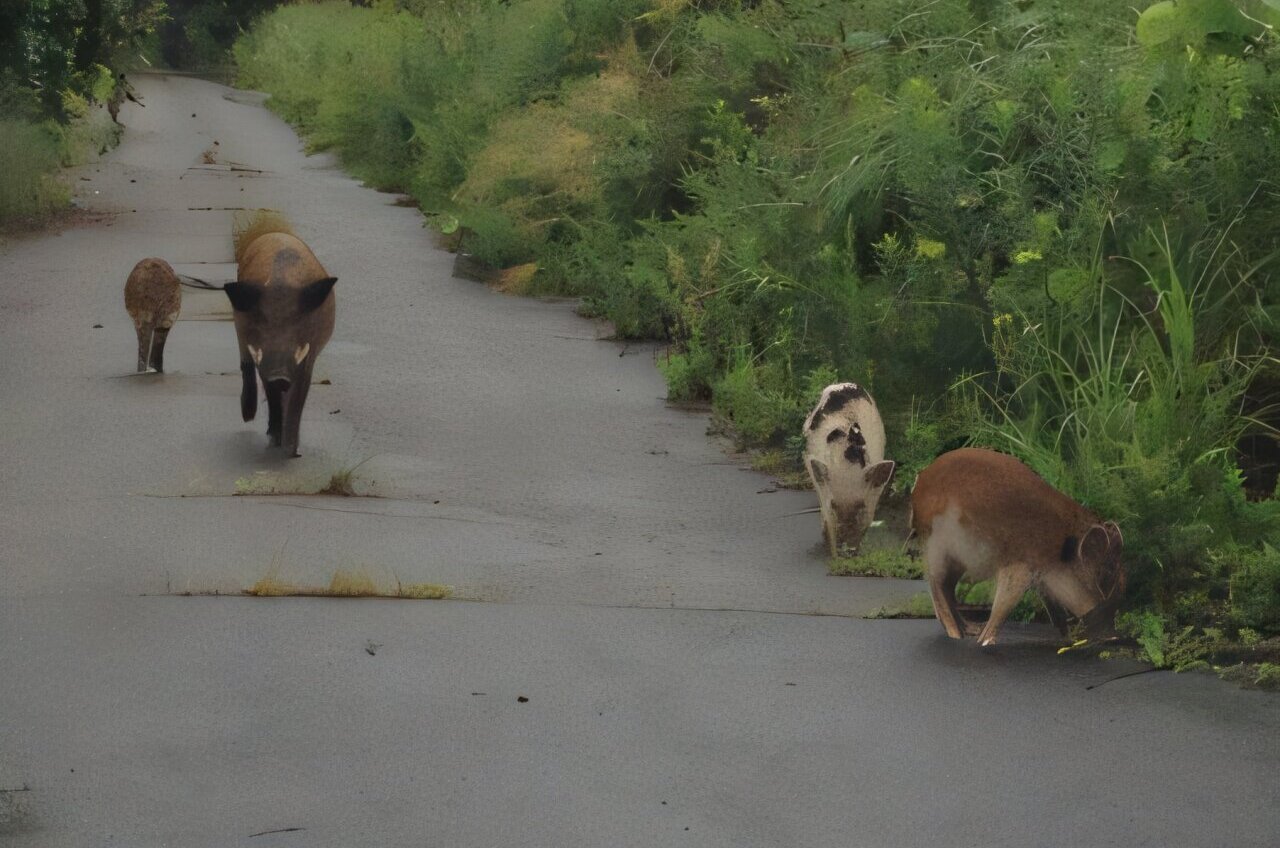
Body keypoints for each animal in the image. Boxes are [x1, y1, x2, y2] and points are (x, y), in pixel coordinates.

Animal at [223, 217, 336, 458]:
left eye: (297, 322)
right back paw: (248, 416)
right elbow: (270, 391)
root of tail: (276, 233)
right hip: (239, 331)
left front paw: (292, 451)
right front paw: (275, 441)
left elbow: (298, 396)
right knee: (245, 366)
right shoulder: (260, 354)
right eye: (262, 321)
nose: (279, 376)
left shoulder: (308, 354)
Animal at [911, 447, 1126, 646]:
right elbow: (1004, 604)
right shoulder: (1018, 566)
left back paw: (969, 630)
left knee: (947, 588)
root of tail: (920, 480)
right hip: (939, 547)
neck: (1058, 549)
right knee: (937, 585)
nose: (1115, 636)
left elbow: (1054, 608)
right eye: (1106, 574)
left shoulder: (1043, 579)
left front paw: (1068, 639)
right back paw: (957, 635)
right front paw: (985, 642)